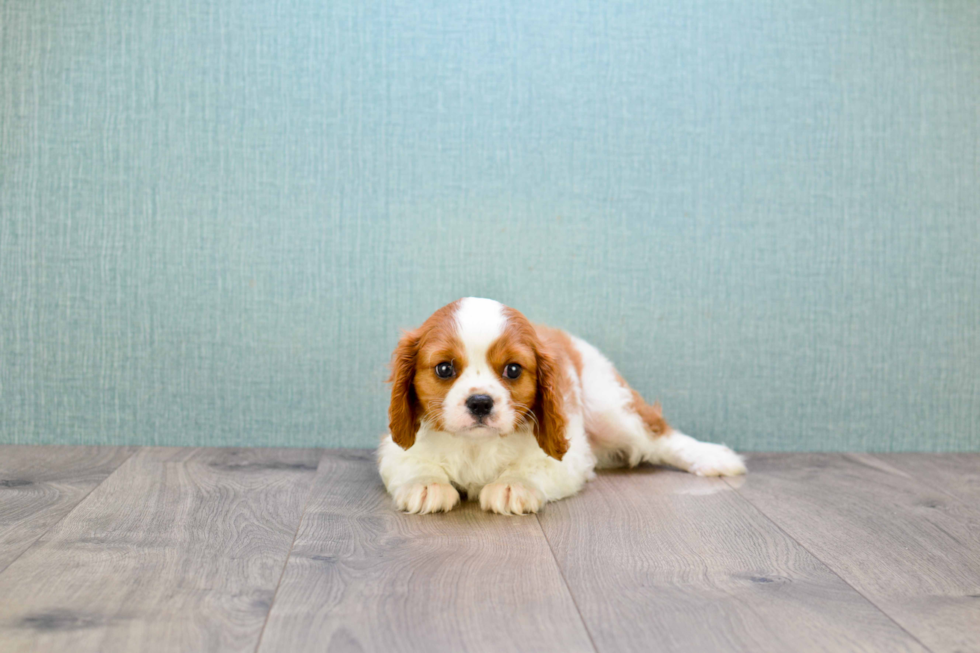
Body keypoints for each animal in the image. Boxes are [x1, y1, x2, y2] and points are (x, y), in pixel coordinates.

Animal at [376, 296, 744, 516]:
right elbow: (412, 462)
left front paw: (513, 485)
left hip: (611, 408)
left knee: (660, 436)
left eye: (513, 370)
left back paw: (712, 457)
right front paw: (426, 484)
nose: (480, 402)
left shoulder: (569, 454)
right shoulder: (395, 448)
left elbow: (533, 467)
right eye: (444, 369)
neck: (475, 445)